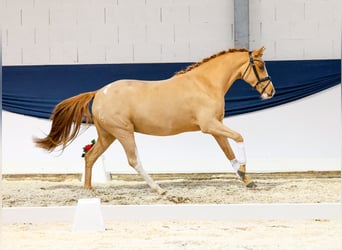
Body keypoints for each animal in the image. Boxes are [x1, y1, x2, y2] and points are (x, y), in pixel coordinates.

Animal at [34, 47, 276, 195]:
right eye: (260, 66)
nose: (271, 92)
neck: (204, 83)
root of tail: (100, 92)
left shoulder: (216, 128)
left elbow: (229, 153)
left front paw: (246, 179)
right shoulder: (209, 126)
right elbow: (239, 138)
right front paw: (244, 172)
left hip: (107, 135)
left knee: (91, 157)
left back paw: (88, 190)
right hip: (123, 132)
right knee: (133, 161)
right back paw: (158, 188)